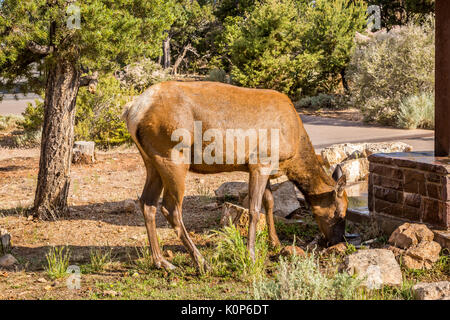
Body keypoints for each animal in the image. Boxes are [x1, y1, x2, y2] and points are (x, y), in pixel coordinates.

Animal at [123, 81, 348, 272]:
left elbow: (269, 202)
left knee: (147, 203)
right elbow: (255, 210)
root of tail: (132, 111)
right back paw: (202, 263)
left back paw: (161, 261)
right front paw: (251, 255)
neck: (293, 153)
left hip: (151, 161)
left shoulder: (261, 167)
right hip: (172, 156)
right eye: (339, 212)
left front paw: (274, 242)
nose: (339, 241)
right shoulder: (261, 161)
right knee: (170, 208)